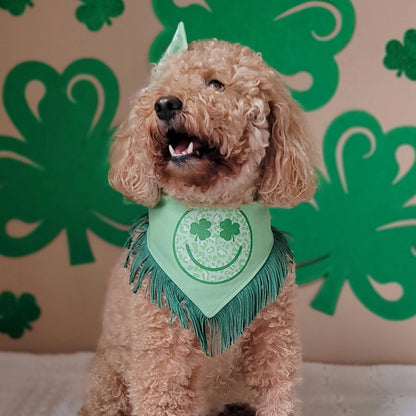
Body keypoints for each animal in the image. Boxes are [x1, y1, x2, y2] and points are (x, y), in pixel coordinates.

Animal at [79, 39, 316, 416]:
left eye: (216, 84)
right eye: (159, 89)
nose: (165, 104)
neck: (212, 212)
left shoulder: (273, 342)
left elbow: (277, 392)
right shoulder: (163, 357)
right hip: (109, 382)